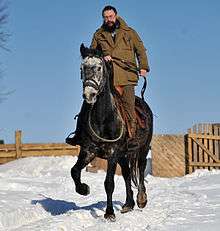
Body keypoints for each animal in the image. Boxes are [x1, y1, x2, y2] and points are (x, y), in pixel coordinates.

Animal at [69, 44, 153, 221]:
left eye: (99, 67)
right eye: (82, 68)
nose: (89, 94)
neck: (103, 117)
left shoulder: (113, 152)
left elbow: (109, 183)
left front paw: (109, 213)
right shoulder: (88, 150)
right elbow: (74, 171)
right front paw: (84, 189)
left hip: (142, 149)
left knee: (140, 169)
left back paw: (141, 199)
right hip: (123, 155)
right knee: (127, 174)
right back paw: (128, 204)